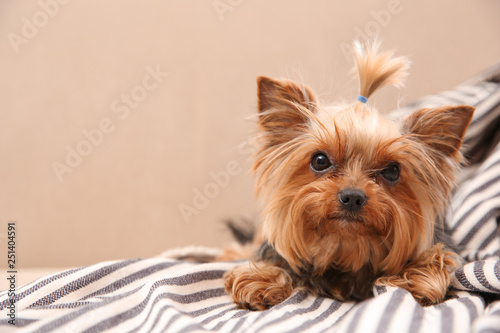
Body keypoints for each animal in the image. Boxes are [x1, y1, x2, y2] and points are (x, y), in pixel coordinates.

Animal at [224, 40, 476, 308]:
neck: (346, 248)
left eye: (392, 171)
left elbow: (438, 258)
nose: (353, 197)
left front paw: (419, 277)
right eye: (320, 161)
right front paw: (261, 279)